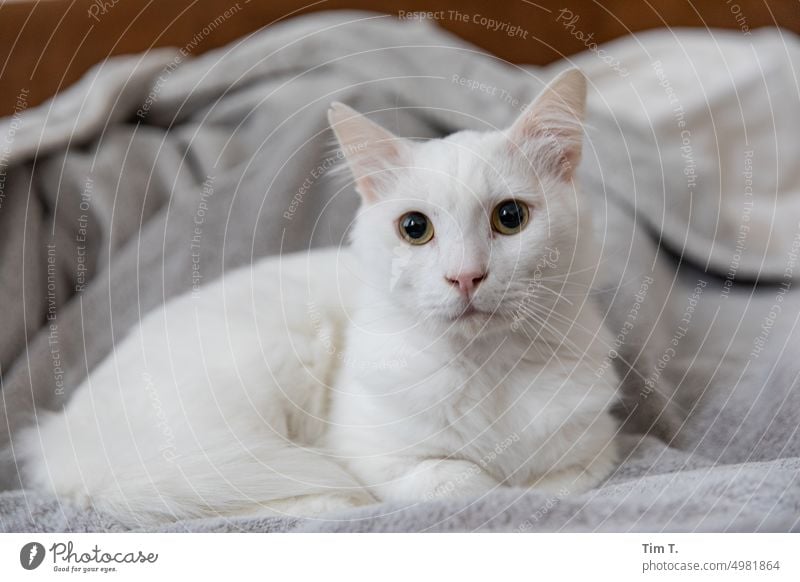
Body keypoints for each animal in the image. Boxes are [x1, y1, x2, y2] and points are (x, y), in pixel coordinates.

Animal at [17, 69, 620, 528]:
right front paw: (486, 484)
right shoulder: (373, 453)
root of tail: (63, 439)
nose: (466, 277)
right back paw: (333, 502)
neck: (490, 372)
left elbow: (556, 484)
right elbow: (468, 482)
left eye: (510, 217)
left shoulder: (592, 450)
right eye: (415, 228)